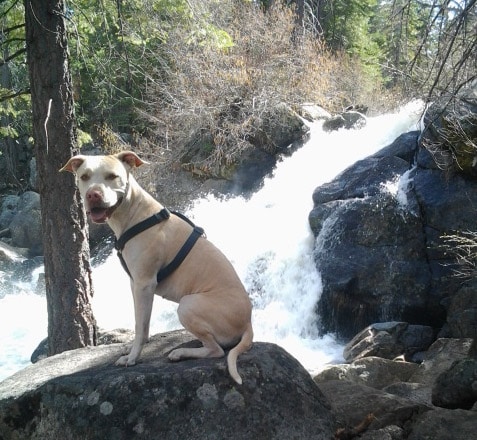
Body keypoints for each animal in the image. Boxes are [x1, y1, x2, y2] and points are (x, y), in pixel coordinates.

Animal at [60, 150, 253, 382]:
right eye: (84, 177)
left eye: (112, 176)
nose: (93, 195)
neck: (135, 213)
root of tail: (249, 322)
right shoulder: (135, 284)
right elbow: (141, 322)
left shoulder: (144, 284)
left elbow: (140, 327)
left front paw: (133, 357)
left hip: (188, 305)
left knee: (216, 350)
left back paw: (181, 352)